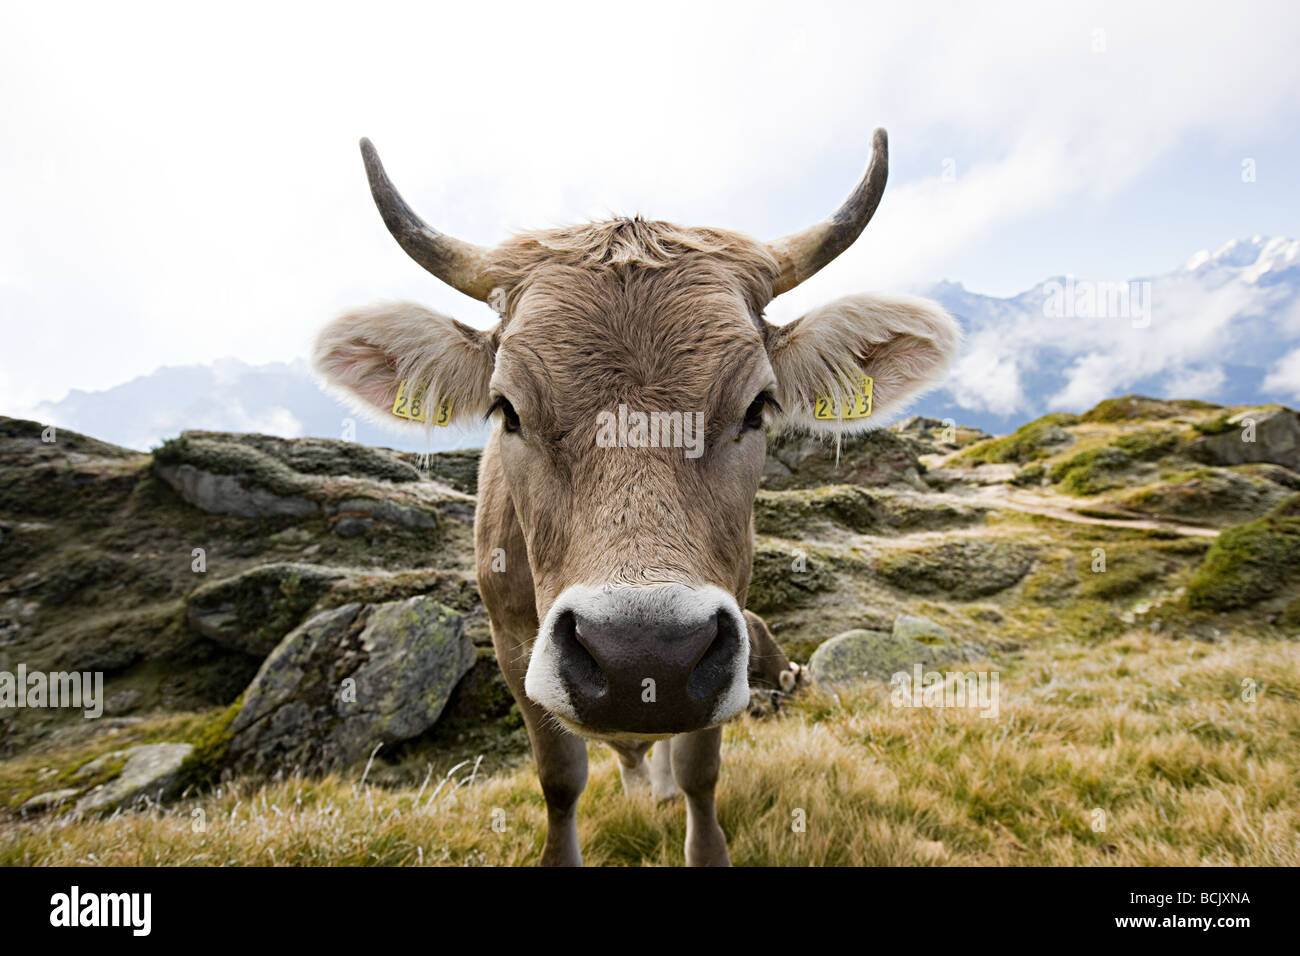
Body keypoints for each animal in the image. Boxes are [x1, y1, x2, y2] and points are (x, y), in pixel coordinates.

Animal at [313, 130, 961, 868]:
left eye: (757, 407)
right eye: (506, 409)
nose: (643, 658)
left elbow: (701, 770)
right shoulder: (511, 643)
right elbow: (560, 778)